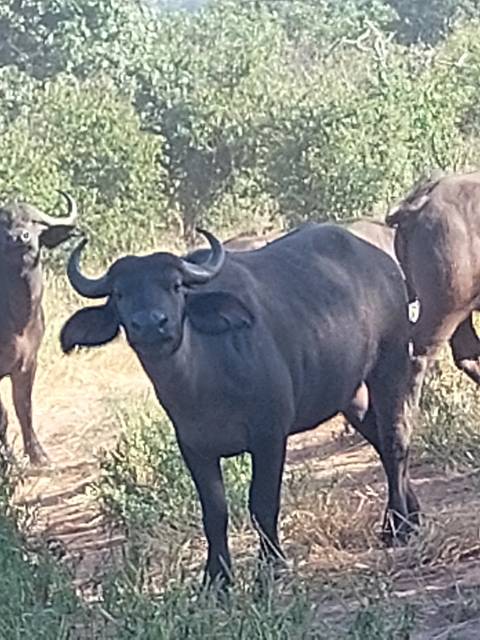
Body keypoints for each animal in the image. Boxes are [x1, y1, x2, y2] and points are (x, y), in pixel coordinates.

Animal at [0, 192, 78, 463]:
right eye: (3, 225)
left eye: (32, 222)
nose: (19, 237)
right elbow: (2, 416)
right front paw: (7, 460)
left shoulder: (29, 363)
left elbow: (24, 407)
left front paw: (37, 454)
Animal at [60, 223, 418, 584]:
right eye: (120, 294)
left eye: (175, 286)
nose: (150, 324)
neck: (204, 385)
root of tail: (384, 265)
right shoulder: (194, 448)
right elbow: (214, 512)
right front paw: (217, 577)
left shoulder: (269, 437)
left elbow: (262, 503)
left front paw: (271, 565)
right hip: (351, 394)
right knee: (379, 440)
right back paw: (412, 516)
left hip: (390, 365)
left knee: (394, 441)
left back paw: (398, 526)